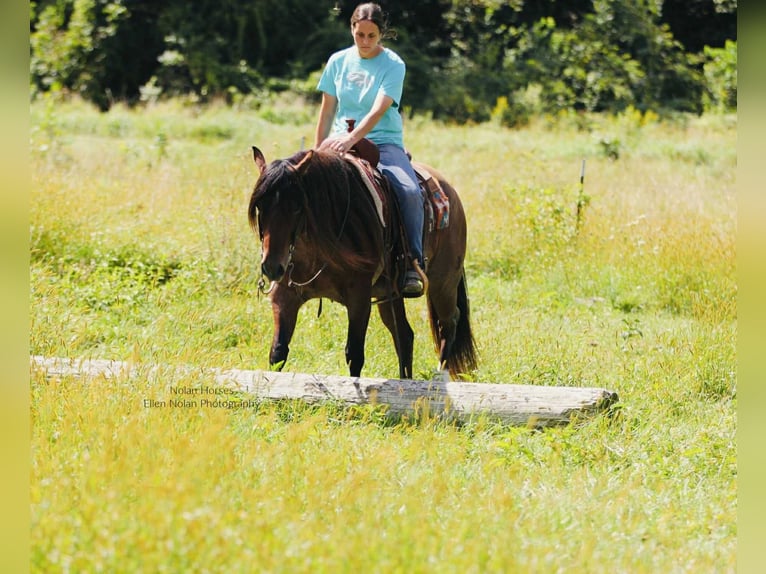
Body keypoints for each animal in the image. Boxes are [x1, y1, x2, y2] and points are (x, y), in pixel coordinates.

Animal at [248, 145, 477, 380]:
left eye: (296, 207)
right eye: (260, 207)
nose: (271, 266)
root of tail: (450, 193)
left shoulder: (359, 297)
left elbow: (354, 354)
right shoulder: (285, 295)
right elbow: (278, 352)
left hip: (443, 283)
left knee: (449, 321)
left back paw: (441, 374)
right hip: (391, 295)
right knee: (405, 336)